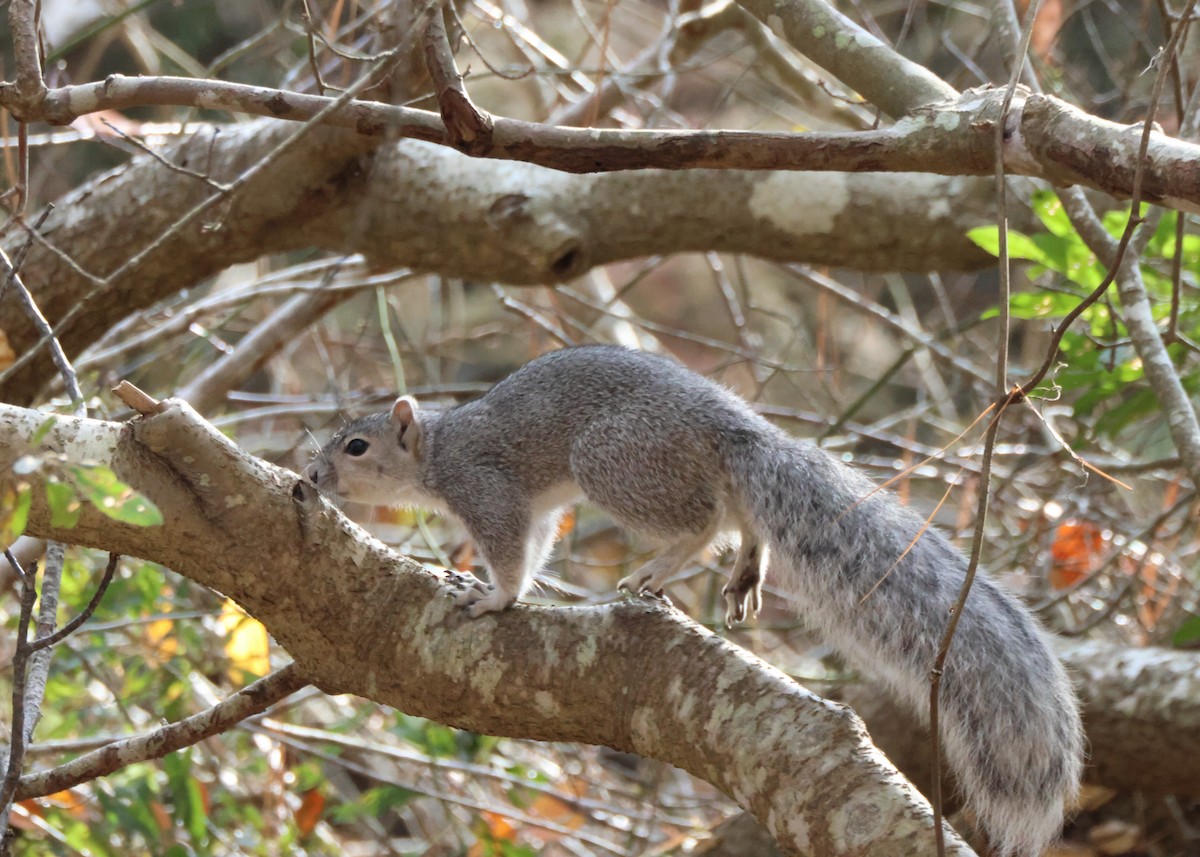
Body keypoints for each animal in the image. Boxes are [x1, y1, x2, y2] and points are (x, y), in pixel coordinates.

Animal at [306, 345, 1083, 857]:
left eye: (356, 445)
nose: (311, 476)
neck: (437, 449)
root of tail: (733, 425)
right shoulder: (537, 509)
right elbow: (537, 547)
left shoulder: (487, 488)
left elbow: (509, 557)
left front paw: (493, 598)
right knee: (739, 515)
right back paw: (746, 567)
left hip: (616, 460)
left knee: (702, 522)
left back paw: (660, 569)